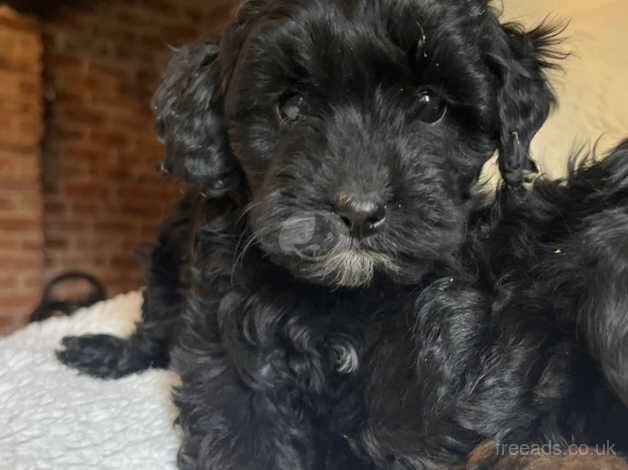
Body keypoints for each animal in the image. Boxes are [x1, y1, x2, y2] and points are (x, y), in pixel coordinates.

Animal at [59, 0, 628, 468]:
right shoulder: (227, 336)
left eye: (430, 105)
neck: (345, 295)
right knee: (156, 323)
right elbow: (243, 426)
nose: (359, 211)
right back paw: (103, 352)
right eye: (290, 105)